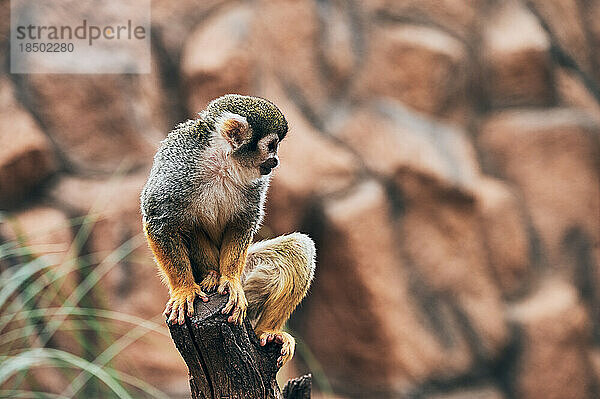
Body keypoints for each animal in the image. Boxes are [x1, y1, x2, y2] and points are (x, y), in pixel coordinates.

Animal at [139, 94, 316, 368]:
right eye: (272, 145)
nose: (276, 161)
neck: (223, 161)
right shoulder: (177, 164)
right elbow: (160, 220)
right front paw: (184, 289)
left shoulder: (256, 182)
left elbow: (242, 223)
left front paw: (230, 280)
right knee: (188, 225)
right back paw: (210, 275)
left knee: (299, 247)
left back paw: (267, 331)